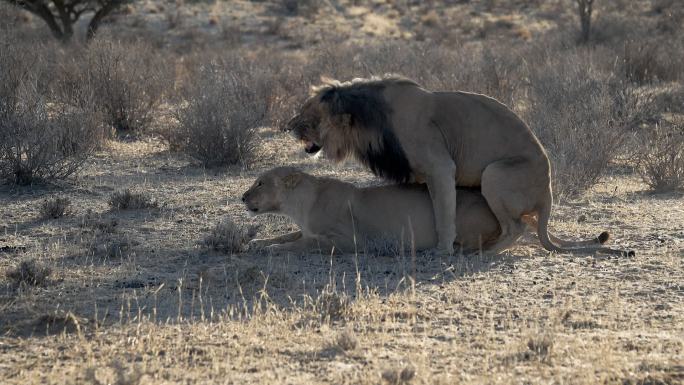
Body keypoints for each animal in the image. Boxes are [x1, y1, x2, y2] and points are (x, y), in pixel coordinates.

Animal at [284, 75, 632, 255]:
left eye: (308, 115)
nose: (286, 126)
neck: (372, 121)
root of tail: (548, 192)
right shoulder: (421, 176)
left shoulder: (440, 167)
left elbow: (444, 213)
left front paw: (442, 249)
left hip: (495, 173)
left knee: (517, 227)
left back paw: (480, 253)